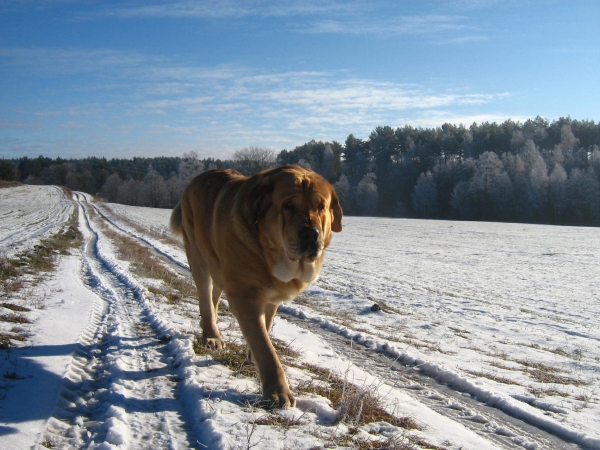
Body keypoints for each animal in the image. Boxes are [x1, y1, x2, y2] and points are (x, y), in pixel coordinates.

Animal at [171, 164, 344, 408]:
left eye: (321, 207)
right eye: (288, 205)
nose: (311, 233)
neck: (269, 256)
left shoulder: (271, 298)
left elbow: (266, 326)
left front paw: (254, 354)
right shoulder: (245, 296)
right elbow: (265, 346)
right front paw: (277, 392)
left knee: (214, 295)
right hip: (198, 256)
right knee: (205, 297)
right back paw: (211, 335)